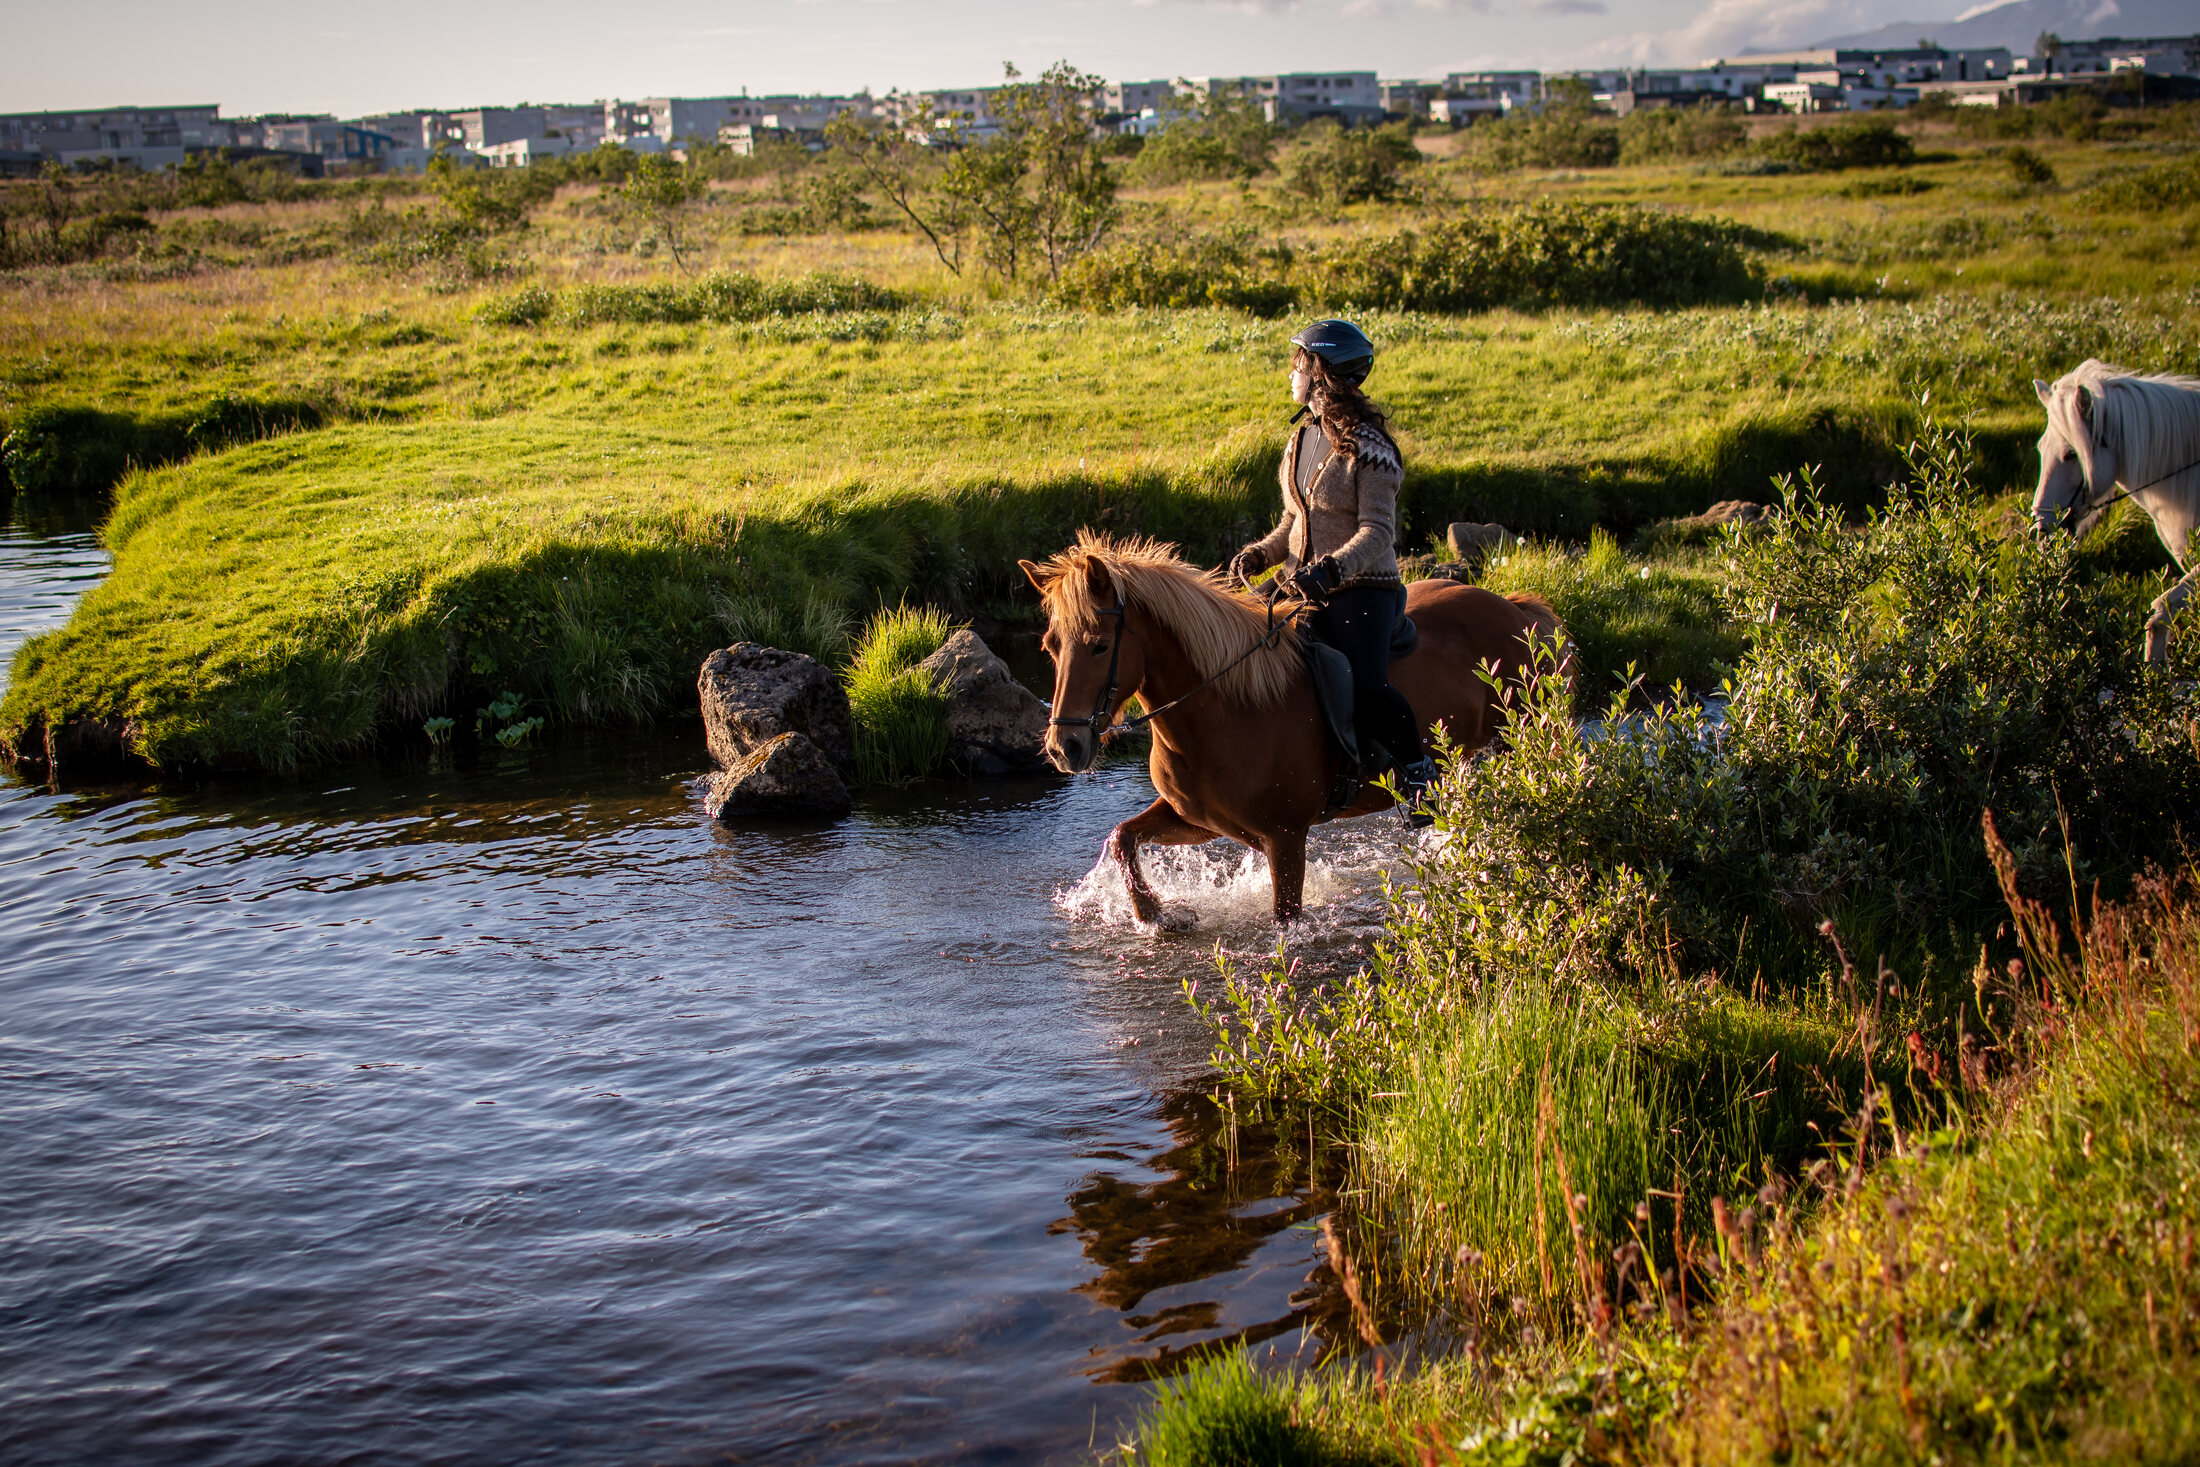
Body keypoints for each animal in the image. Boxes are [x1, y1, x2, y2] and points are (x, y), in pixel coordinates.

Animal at [1019, 531, 1568, 924]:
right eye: (1049, 645)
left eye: (1098, 645)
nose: (1065, 746)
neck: (1223, 708)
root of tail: (1514, 609)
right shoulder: (1201, 821)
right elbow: (1123, 837)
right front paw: (1154, 913)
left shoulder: (1285, 838)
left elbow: (1285, 919)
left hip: (1515, 747)